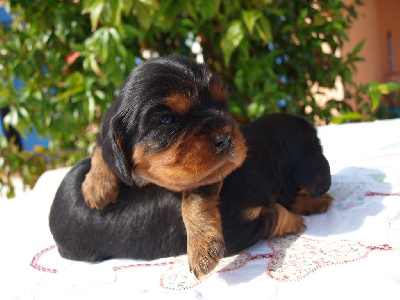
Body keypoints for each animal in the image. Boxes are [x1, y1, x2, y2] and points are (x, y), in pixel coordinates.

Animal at [49, 54, 332, 278]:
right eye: (166, 120)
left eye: (222, 104)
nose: (226, 136)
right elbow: (274, 212)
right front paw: (97, 185)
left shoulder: (211, 176)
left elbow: (195, 197)